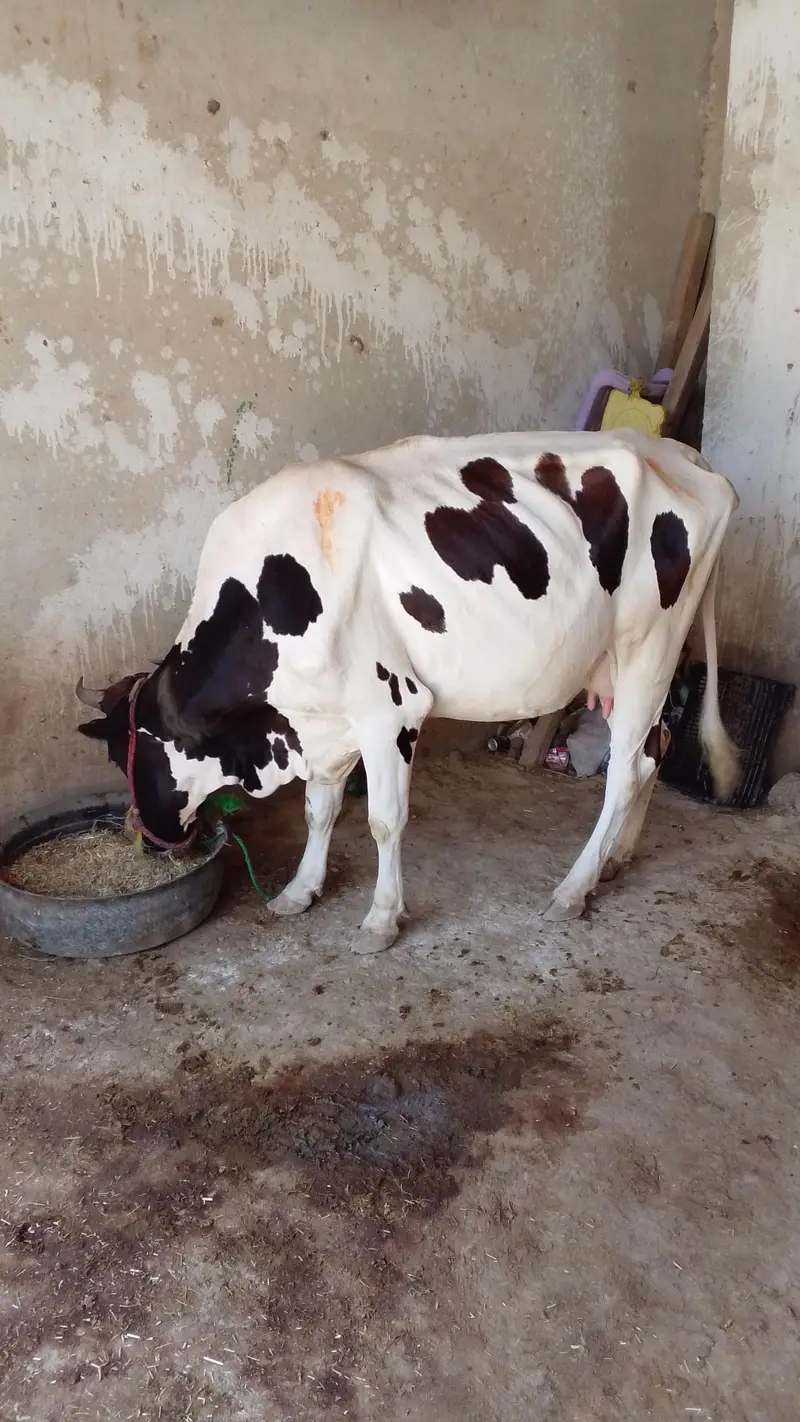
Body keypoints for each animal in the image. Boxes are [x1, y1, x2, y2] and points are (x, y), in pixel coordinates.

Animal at [76, 428, 739, 953]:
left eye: (123, 754)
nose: (143, 842)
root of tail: (675, 451)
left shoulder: (389, 710)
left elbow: (383, 821)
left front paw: (380, 920)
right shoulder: (324, 721)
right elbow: (319, 810)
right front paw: (299, 890)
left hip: (647, 647)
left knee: (626, 771)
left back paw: (574, 889)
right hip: (637, 665)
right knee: (655, 748)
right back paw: (616, 860)